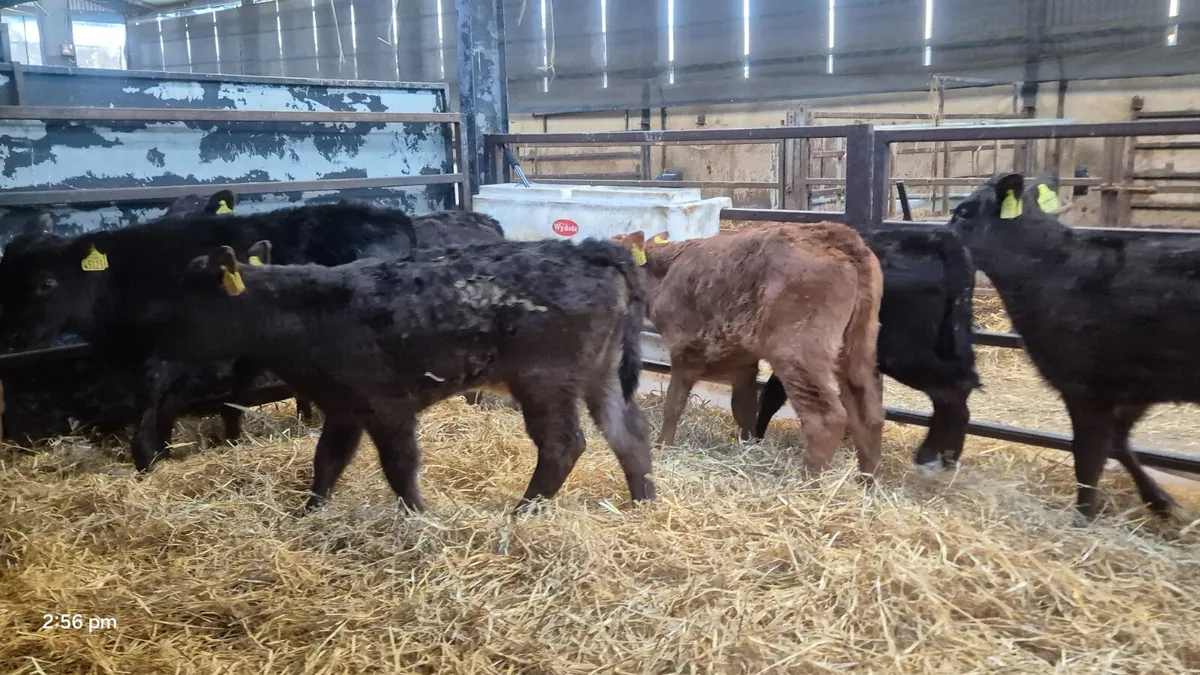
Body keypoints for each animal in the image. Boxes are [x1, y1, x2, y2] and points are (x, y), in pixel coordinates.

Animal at [142, 237, 653, 512]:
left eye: (187, 298)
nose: (150, 338)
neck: (307, 314)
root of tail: (596, 251)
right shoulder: (342, 407)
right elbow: (326, 461)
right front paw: (310, 512)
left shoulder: (386, 405)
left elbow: (399, 466)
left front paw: (418, 517)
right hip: (600, 374)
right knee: (628, 433)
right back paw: (643, 501)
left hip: (543, 380)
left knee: (564, 445)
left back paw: (522, 513)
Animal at [612, 224, 885, 476]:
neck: (665, 272)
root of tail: (836, 235)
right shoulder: (742, 359)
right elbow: (742, 406)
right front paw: (748, 443)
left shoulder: (685, 349)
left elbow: (673, 404)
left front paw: (662, 446)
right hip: (859, 346)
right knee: (868, 413)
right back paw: (867, 481)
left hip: (798, 352)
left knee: (826, 418)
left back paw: (808, 484)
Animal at [947, 172, 1192, 520]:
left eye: (963, 212)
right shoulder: (1135, 386)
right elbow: (1115, 443)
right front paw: (1160, 501)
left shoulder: (1087, 387)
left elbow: (1089, 457)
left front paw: (1084, 517)